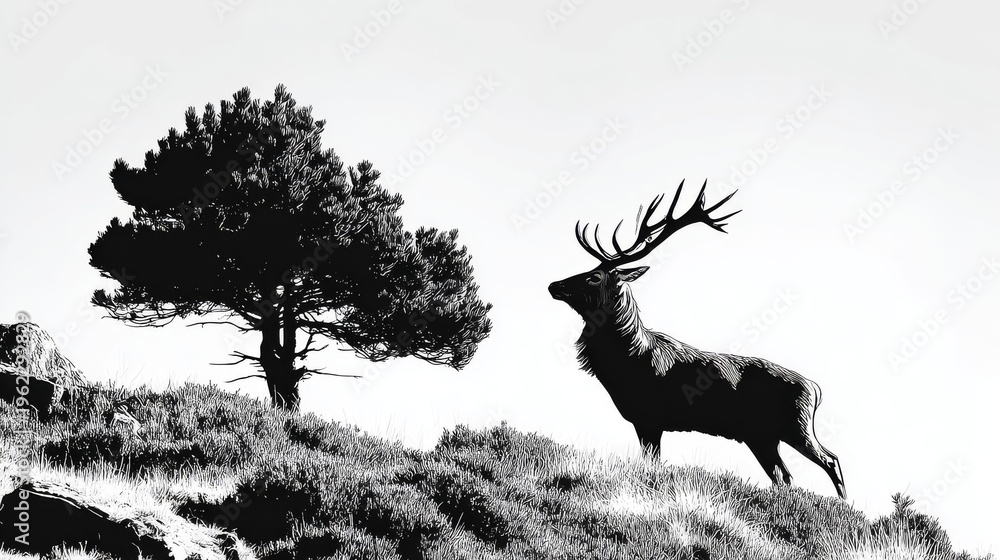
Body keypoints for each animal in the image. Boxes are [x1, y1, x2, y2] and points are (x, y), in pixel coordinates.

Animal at [548, 180, 847, 499]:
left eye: (594, 277)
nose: (554, 285)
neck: (626, 361)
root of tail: (816, 389)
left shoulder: (650, 417)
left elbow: (652, 463)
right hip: (762, 436)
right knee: (786, 476)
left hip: (796, 425)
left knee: (830, 459)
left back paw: (845, 503)